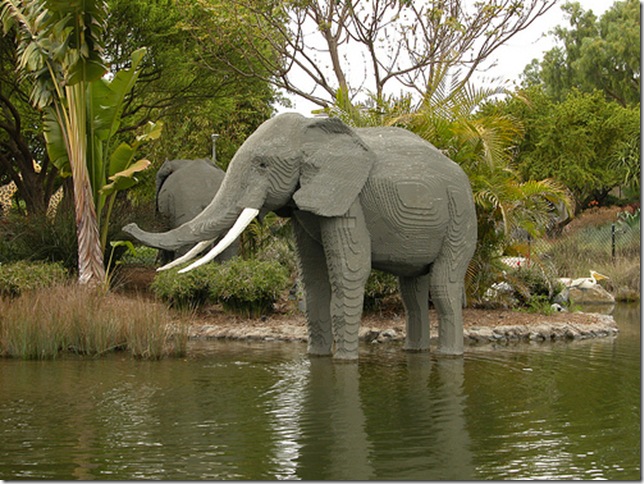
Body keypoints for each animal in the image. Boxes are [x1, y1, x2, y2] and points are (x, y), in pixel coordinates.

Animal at [123, 113, 477, 360]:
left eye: (262, 165)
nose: (126, 228)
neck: (313, 132)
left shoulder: (347, 199)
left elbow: (349, 270)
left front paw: (344, 362)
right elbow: (313, 276)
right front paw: (316, 358)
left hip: (460, 216)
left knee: (442, 286)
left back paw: (449, 356)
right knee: (412, 291)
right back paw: (414, 353)